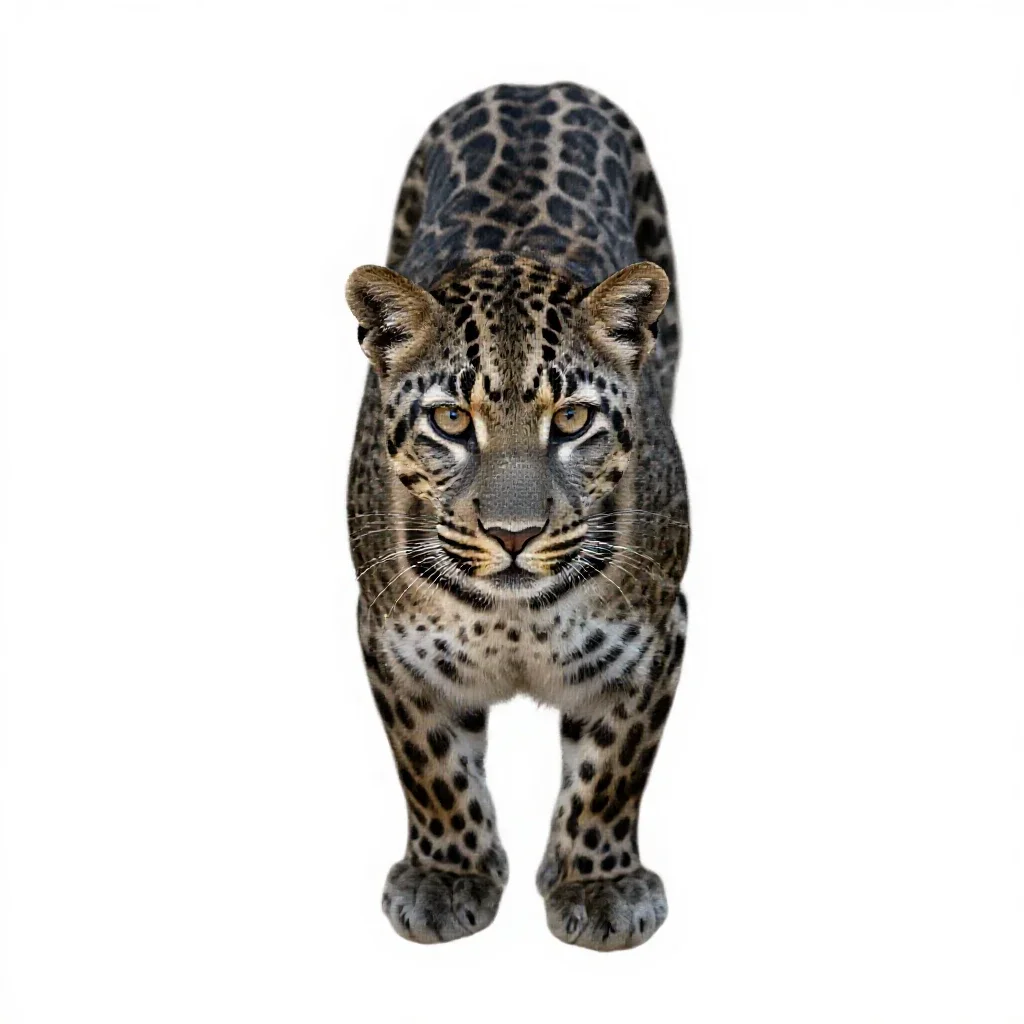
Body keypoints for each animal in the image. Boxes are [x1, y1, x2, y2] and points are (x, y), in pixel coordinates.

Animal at [345, 82, 689, 951]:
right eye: (449, 422)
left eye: (570, 420)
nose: (512, 536)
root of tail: (533, 84)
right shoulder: (386, 638)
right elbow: (432, 766)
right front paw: (448, 876)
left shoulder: (658, 635)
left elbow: (612, 772)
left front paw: (599, 885)